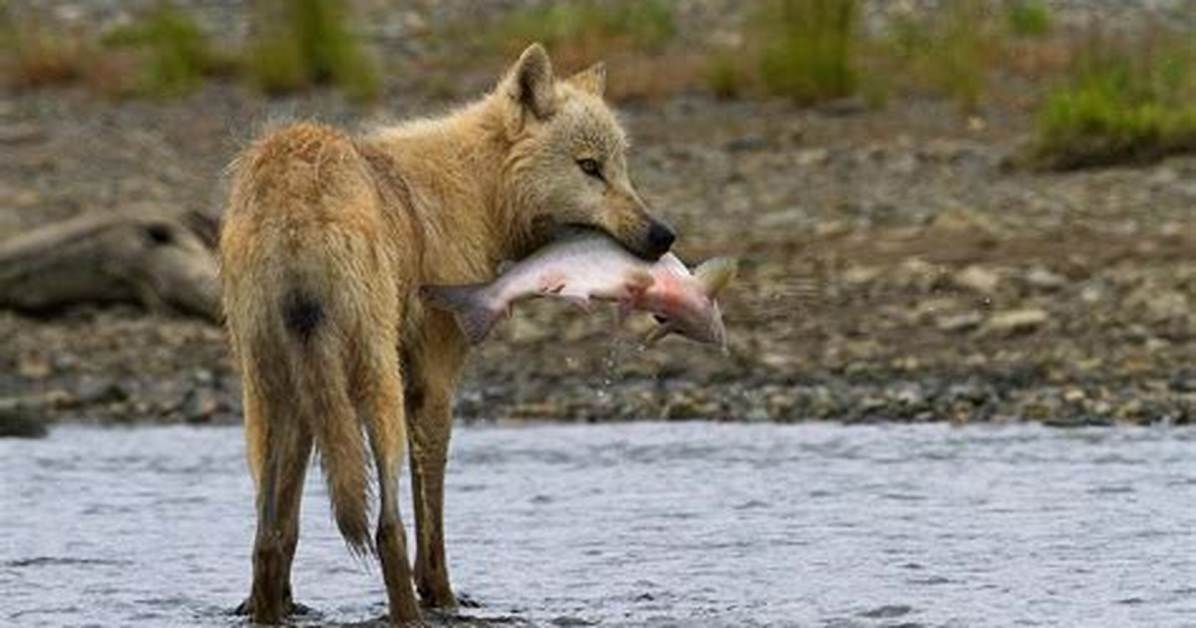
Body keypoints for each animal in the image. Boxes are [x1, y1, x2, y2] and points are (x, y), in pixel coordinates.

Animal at [218, 43, 674, 625]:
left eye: (622, 168)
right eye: (590, 167)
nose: (664, 236)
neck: (477, 192)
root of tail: (294, 197)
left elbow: (287, 531)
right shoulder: (433, 381)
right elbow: (429, 517)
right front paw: (445, 598)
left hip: (272, 393)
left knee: (267, 539)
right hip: (375, 389)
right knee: (387, 528)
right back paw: (408, 611)